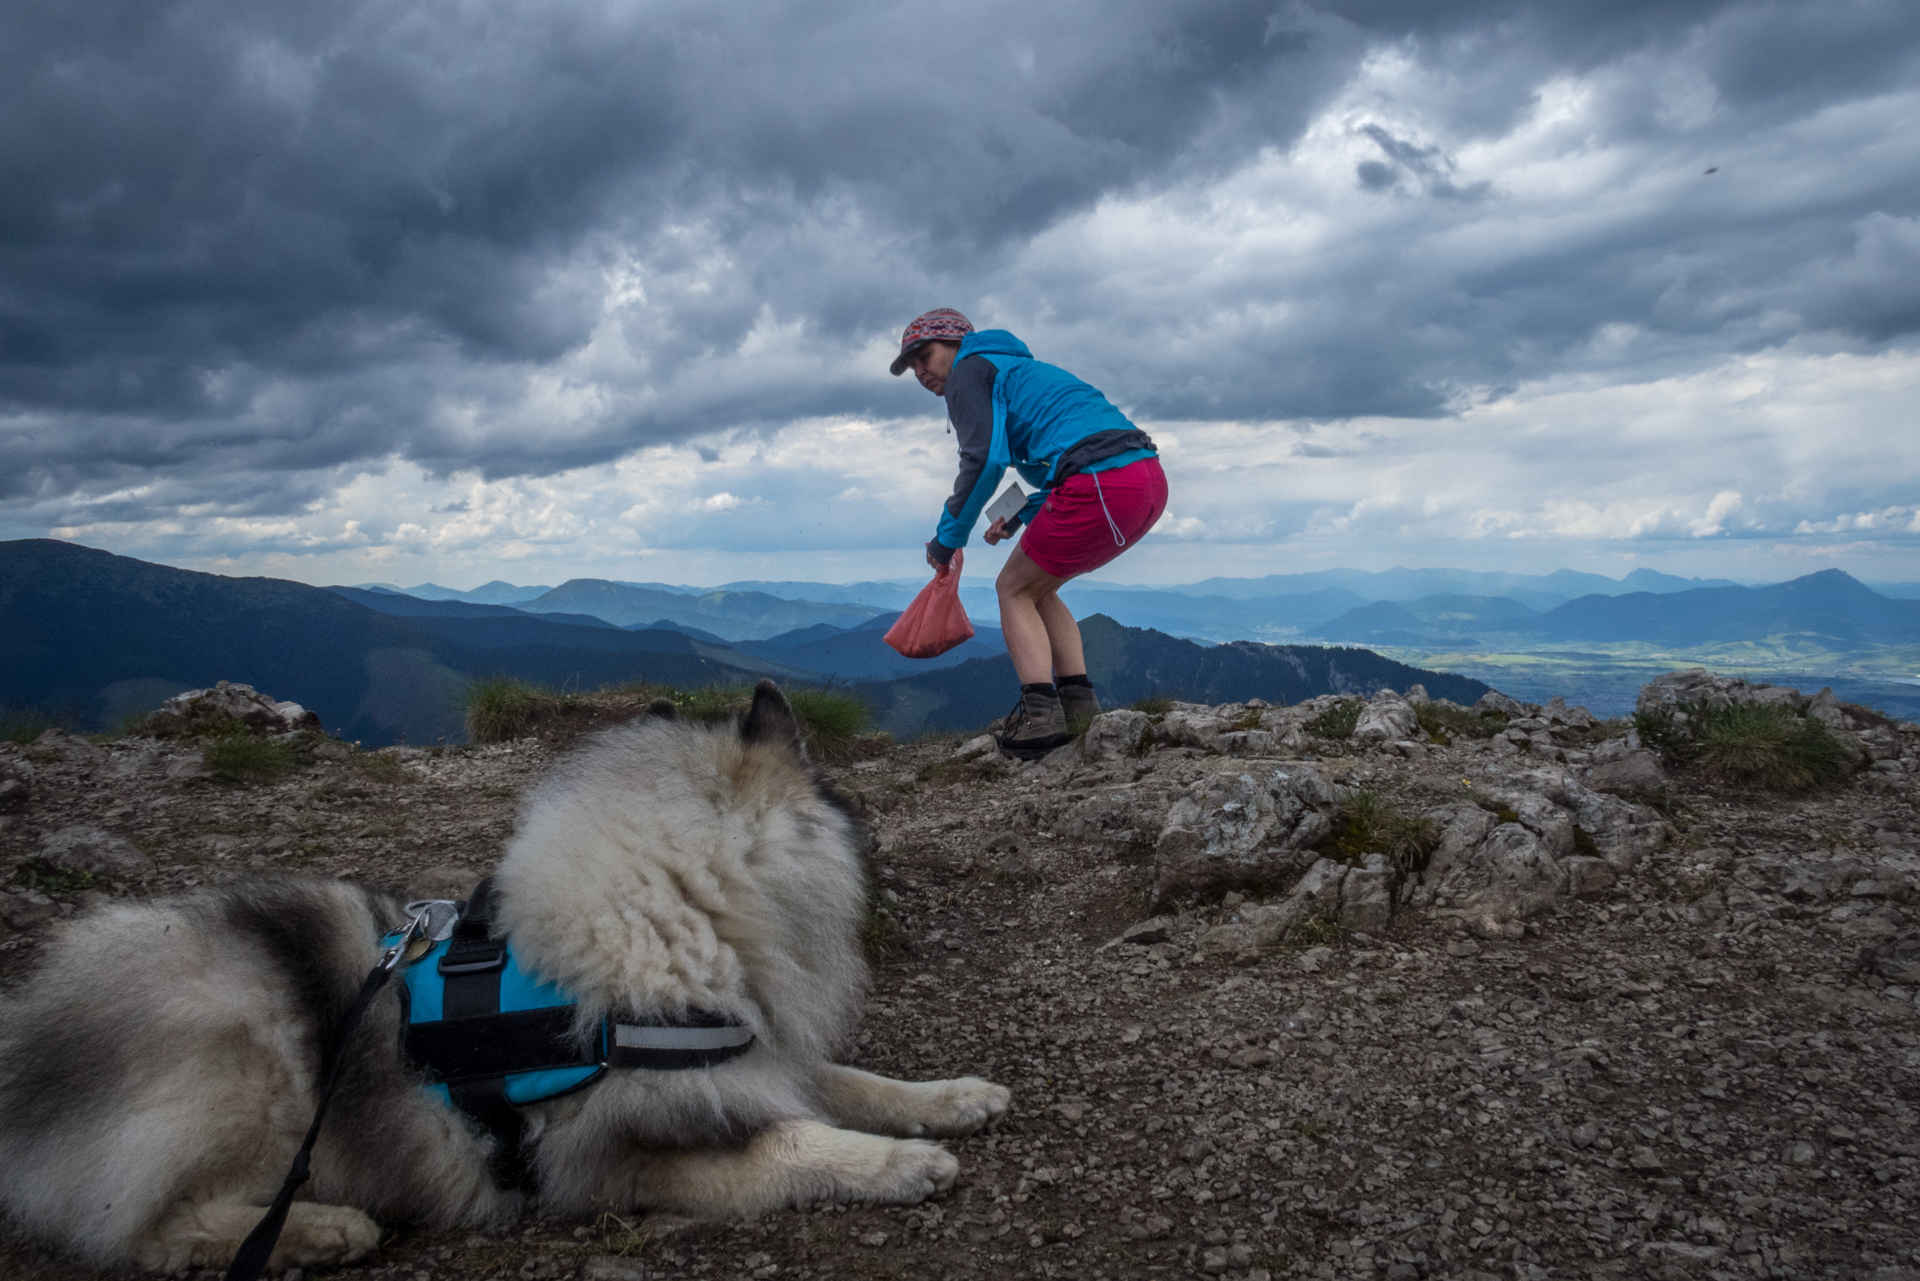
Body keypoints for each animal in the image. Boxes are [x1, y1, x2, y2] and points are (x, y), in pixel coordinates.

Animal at [0, 679, 1013, 1275]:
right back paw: (321, 1230)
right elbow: (792, 1143)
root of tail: (34, 1048)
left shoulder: (750, 1057)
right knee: (142, 1228)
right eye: (835, 797)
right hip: (238, 1062)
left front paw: (953, 1096)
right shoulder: (614, 1155)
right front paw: (899, 1162)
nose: (869, 826)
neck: (674, 910)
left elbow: (854, 1081)